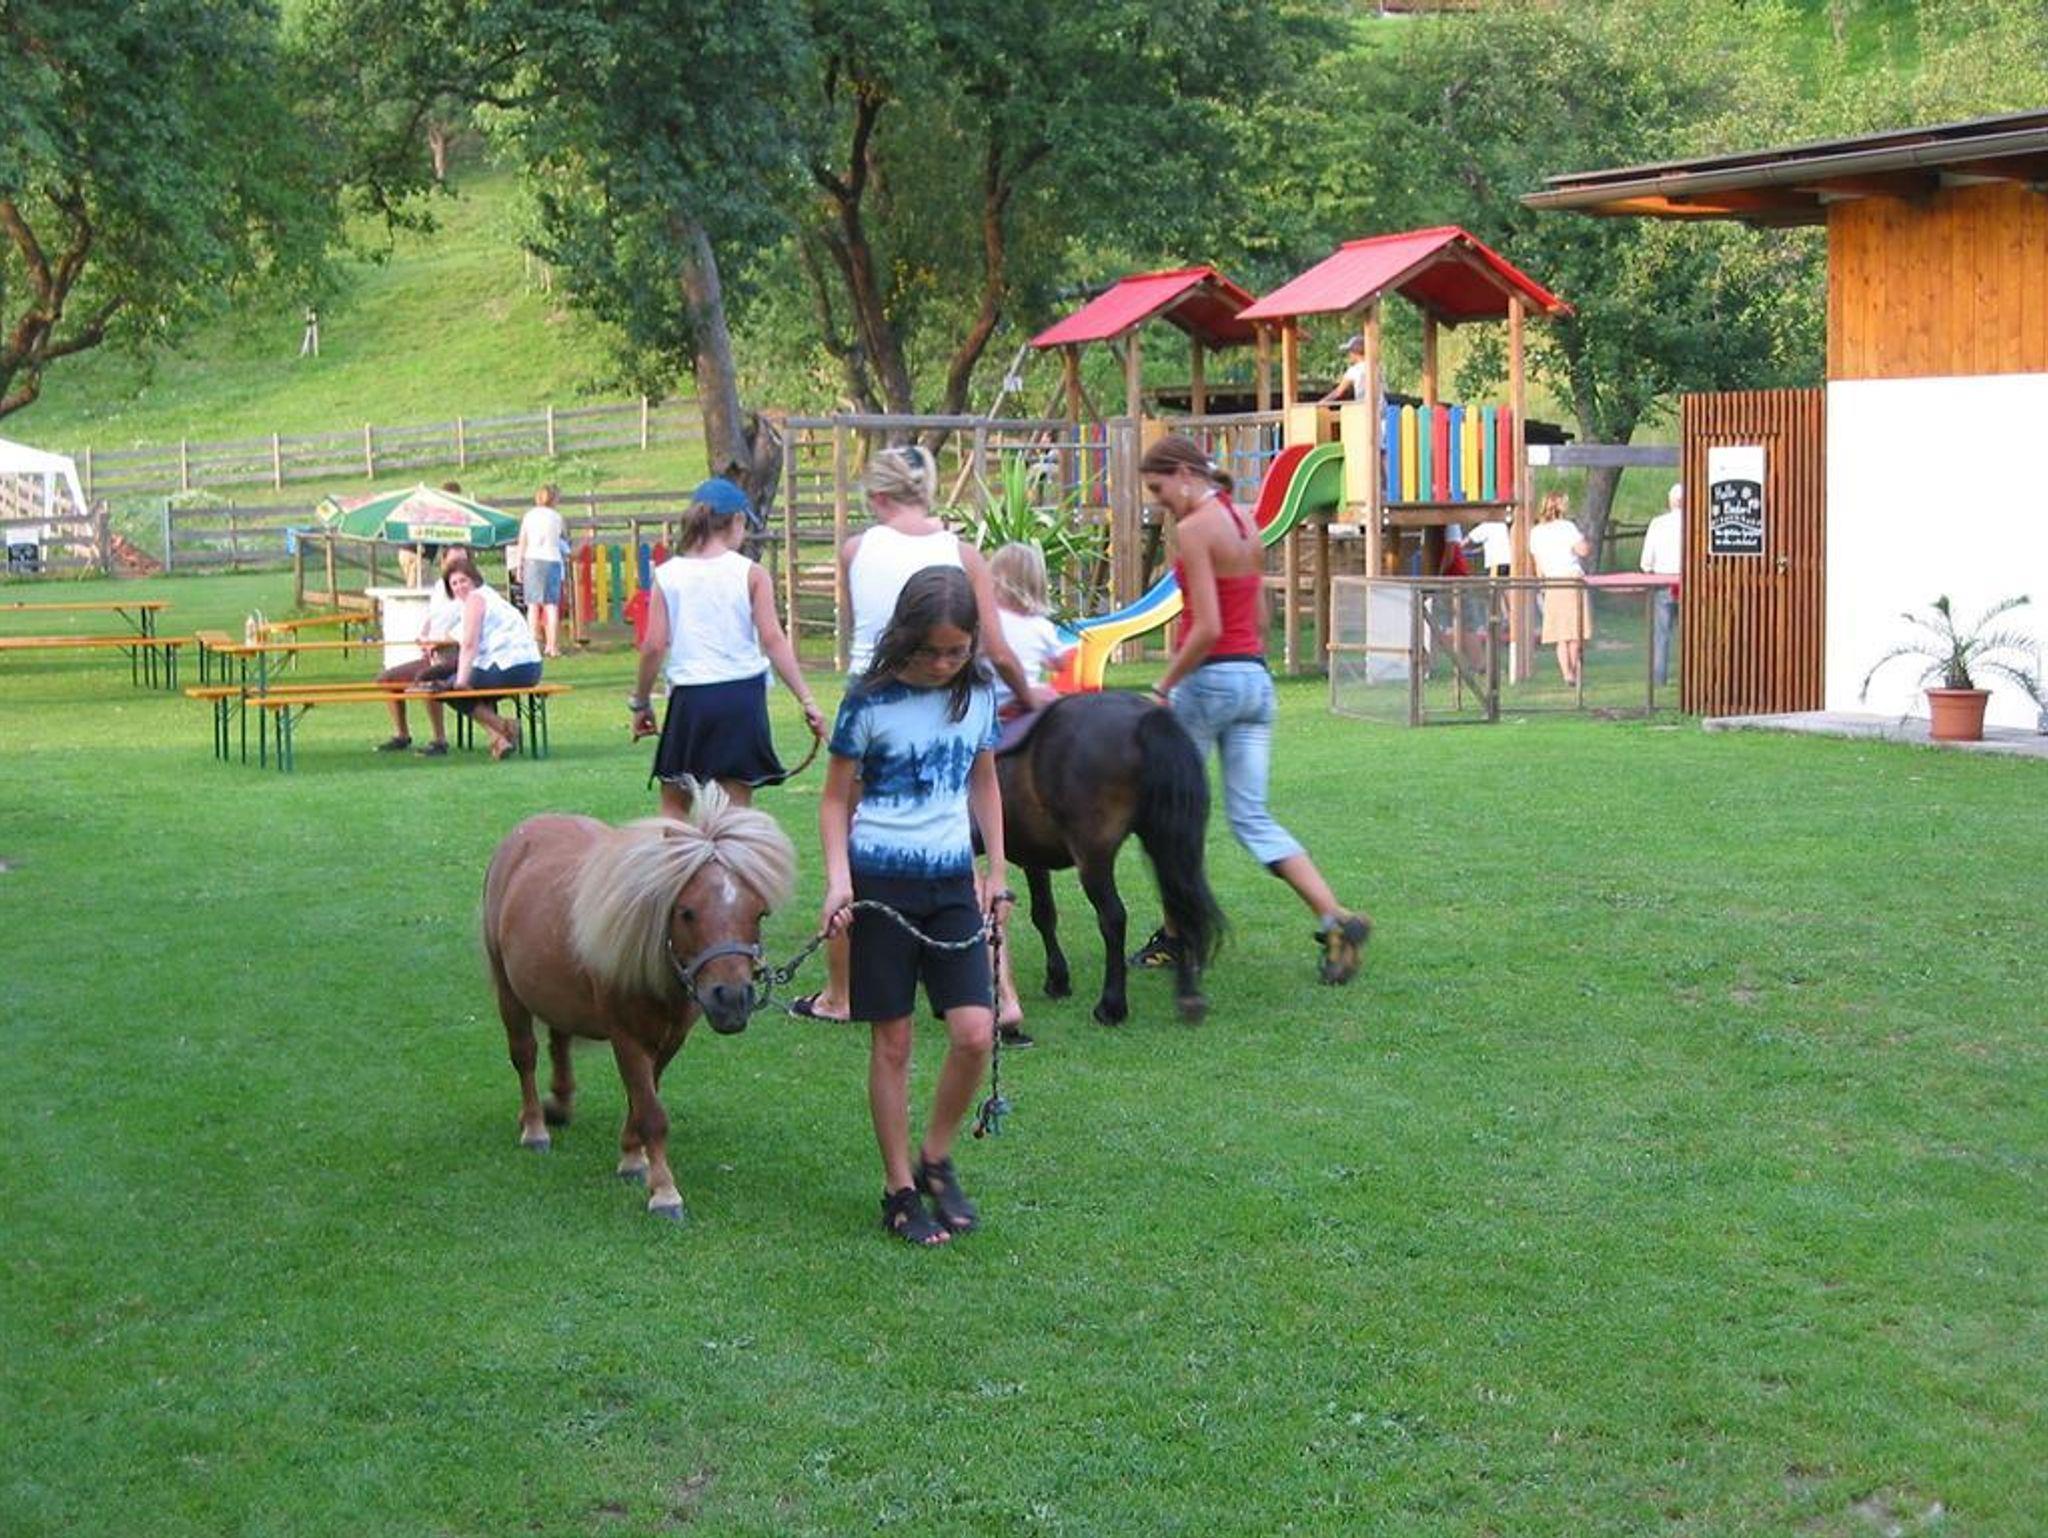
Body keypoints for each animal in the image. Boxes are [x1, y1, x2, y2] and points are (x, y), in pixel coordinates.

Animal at [480, 782, 796, 1220]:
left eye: (760, 913)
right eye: (686, 912)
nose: (732, 999)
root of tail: (522, 835)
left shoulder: (670, 1039)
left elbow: (641, 1101)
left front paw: (633, 1158)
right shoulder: (627, 1037)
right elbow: (651, 1113)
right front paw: (664, 1192)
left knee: (559, 1040)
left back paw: (559, 1103)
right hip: (509, 992)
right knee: (525, 1055)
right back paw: (535, 1127)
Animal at [997, 691, 1224, 1024]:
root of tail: (1146, 717)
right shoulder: (1032, 854)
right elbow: (1043, 914)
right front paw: (1057, 979)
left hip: (1093, 855)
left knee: (1113, 917)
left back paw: (1112, 1005)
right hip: (1166, 842)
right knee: (1179, 903)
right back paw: (1188, 997)